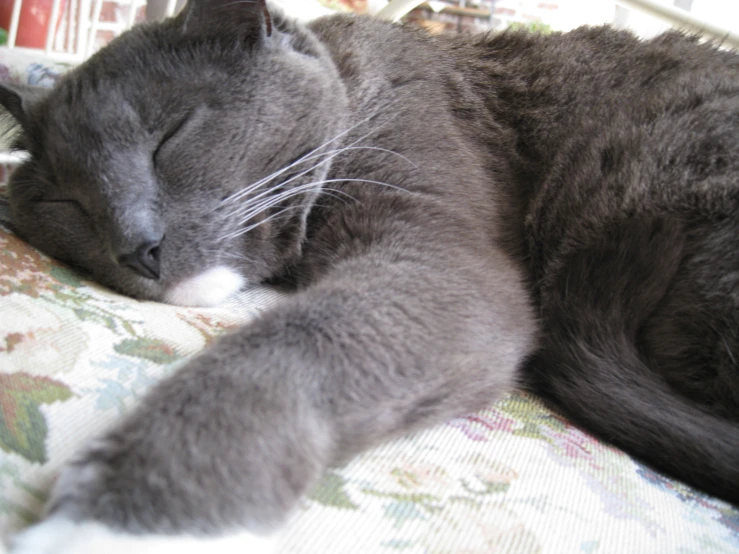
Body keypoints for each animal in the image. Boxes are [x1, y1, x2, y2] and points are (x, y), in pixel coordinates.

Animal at [0, 0, 736, 548]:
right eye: (64, 201)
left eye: (170, 135)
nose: (138, 247)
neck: (355, 83)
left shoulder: (435, 243)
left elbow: (291, 348)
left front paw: (122, 517)